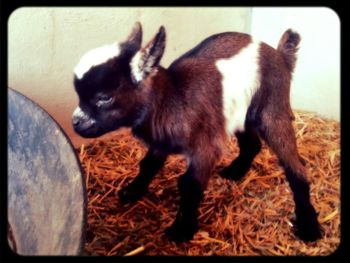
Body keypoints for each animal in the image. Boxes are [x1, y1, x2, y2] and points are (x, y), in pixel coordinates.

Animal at [72, 22, 322, 243]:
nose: (75, 123)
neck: (173, 98)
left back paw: (309, 227)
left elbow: (189, 185)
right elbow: (148, 165)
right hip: (241, 113)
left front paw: (182, 231)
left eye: (104, 97)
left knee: (295, 165)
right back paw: (235, 172)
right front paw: (132, 191)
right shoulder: (161, 142)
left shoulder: (206, 148)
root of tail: (280, 56)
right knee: (252, 144)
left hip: (273, 107)